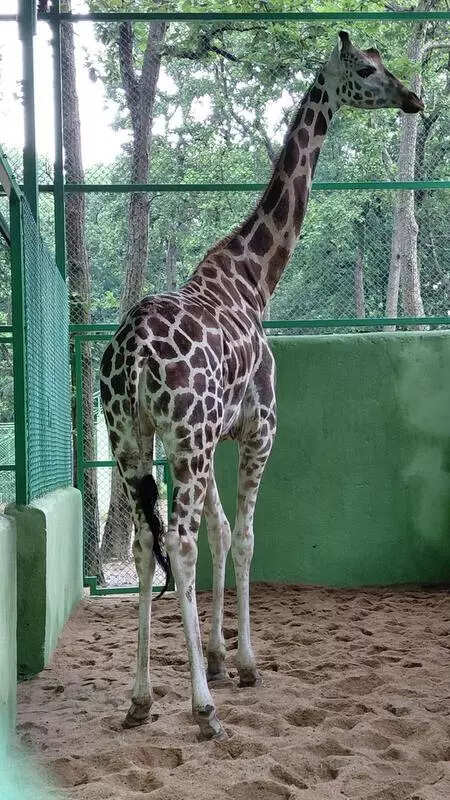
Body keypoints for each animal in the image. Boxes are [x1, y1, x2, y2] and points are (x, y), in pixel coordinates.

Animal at [99, 31, 423, 741]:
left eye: (385, 64)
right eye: (367, 70)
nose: (413, 97)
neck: (255, 279)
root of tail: (131, 353)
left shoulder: (214, 433)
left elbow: (223, 532)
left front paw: (222, 656)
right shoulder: (258, 427)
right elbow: (245, 536)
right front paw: (244, 664)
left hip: (131, 438)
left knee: (145, 543)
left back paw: (140, 699)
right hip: (184, 439)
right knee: (180, 543)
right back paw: (202, 710)